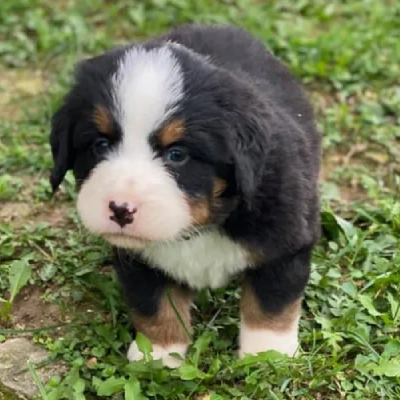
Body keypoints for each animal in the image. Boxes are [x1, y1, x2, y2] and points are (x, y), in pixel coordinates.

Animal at [48, 23, 322, 368]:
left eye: (176, 154)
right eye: (100, 145)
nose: (121, 209)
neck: (200, 225)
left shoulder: (285, 243)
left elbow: (271, 300)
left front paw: (266, 354)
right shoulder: (139, 259)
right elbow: (153, 303)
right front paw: (158, 353)